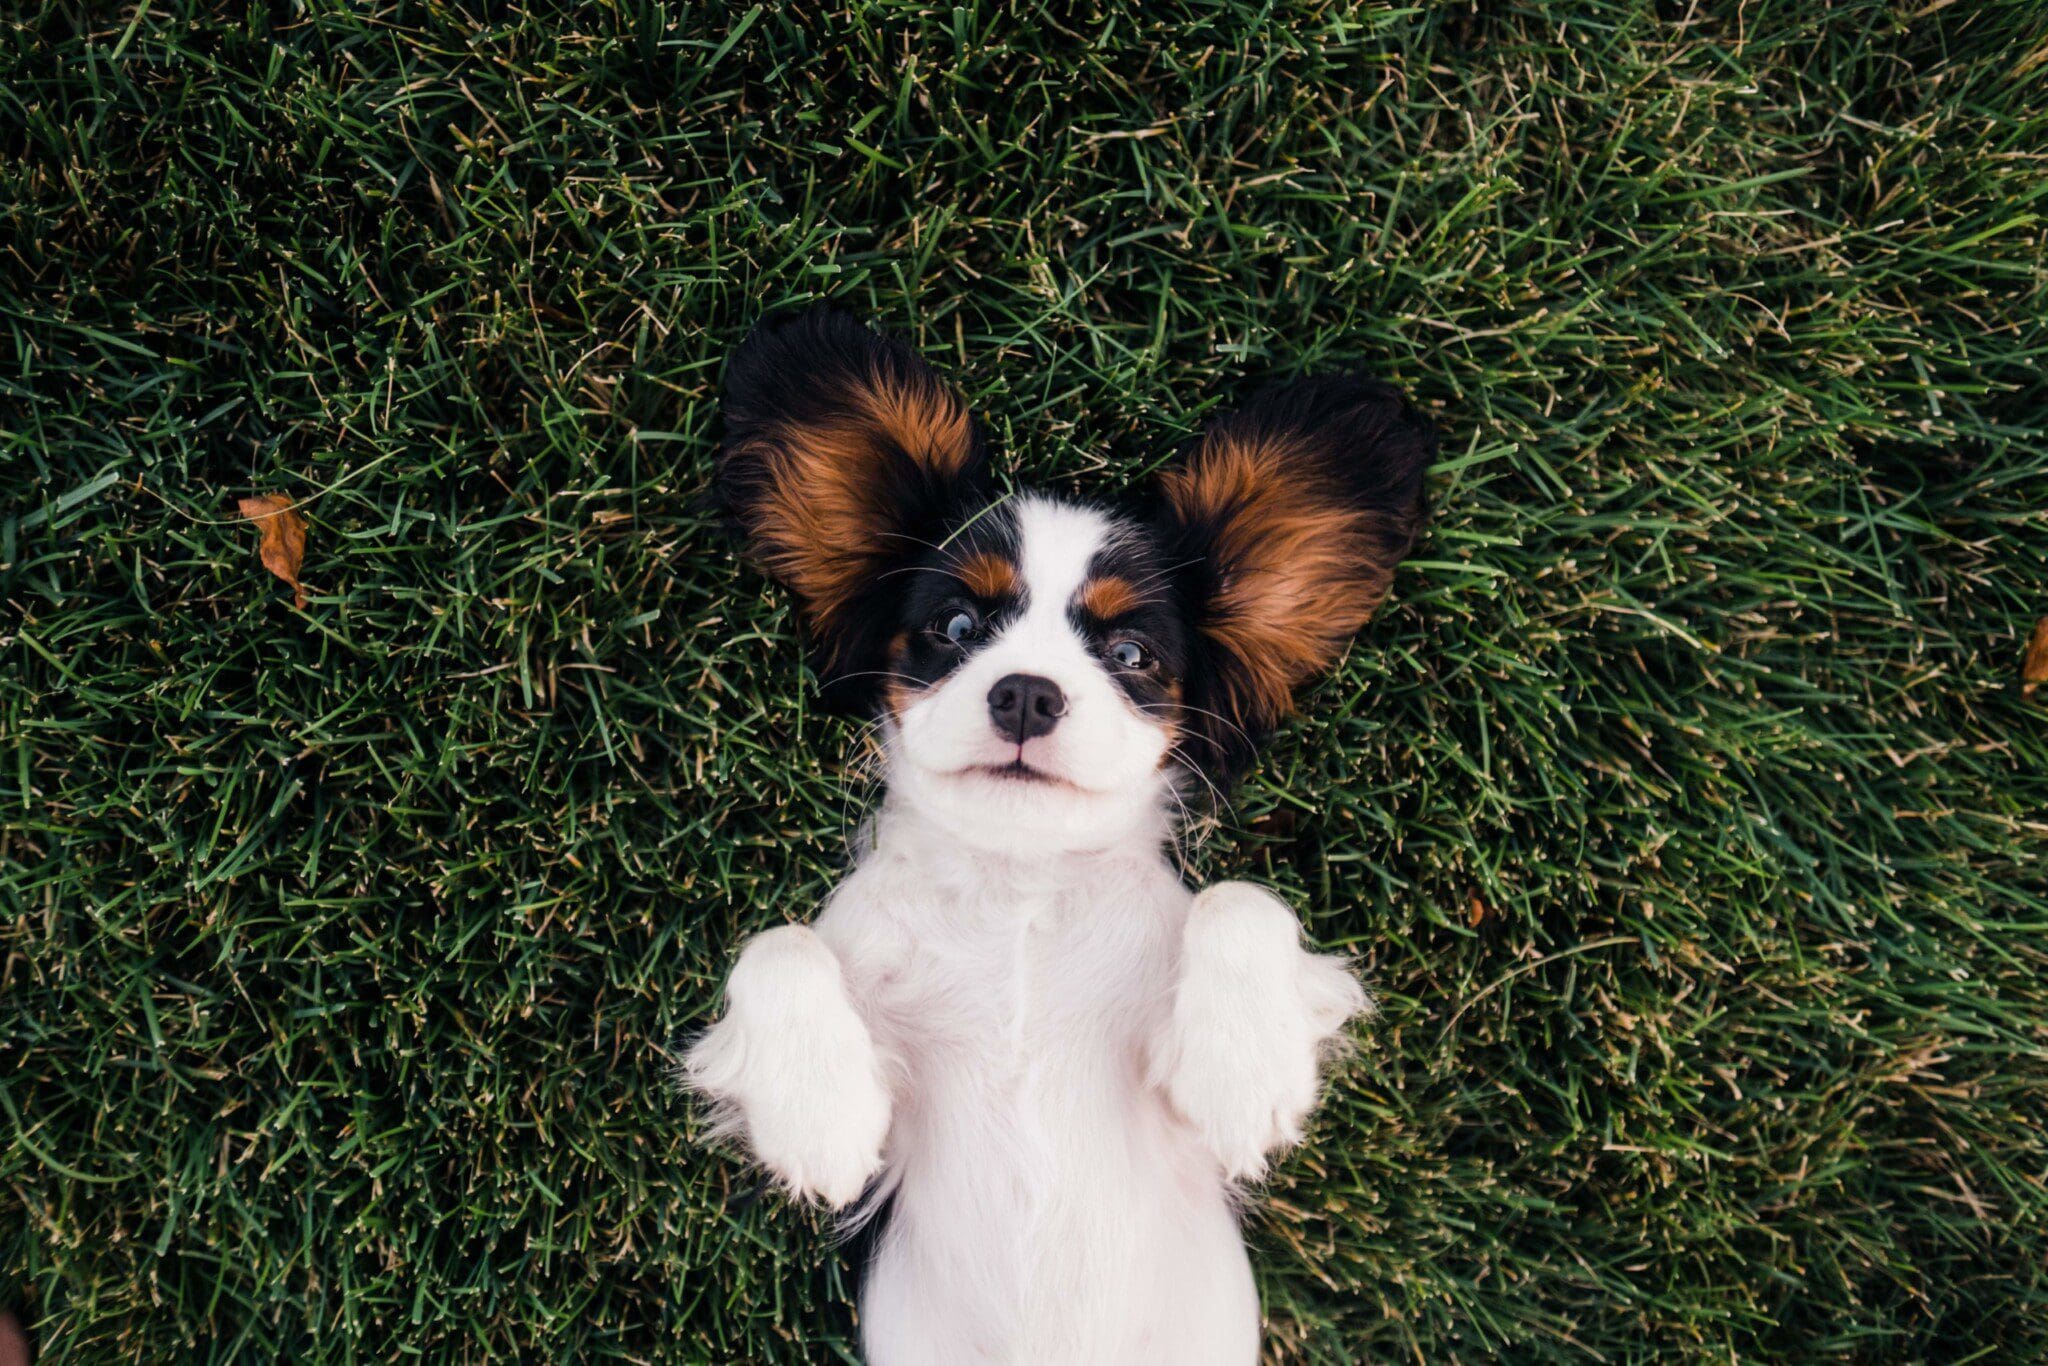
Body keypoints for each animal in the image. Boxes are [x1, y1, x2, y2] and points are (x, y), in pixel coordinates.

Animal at [679, 309, 1433, 1366]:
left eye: (1130, 654)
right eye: (956, 626)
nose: (1028, 693)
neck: (1019, 887)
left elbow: (1242, 900)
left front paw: (1240, 1076)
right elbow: (777, 946)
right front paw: (820, 1118)